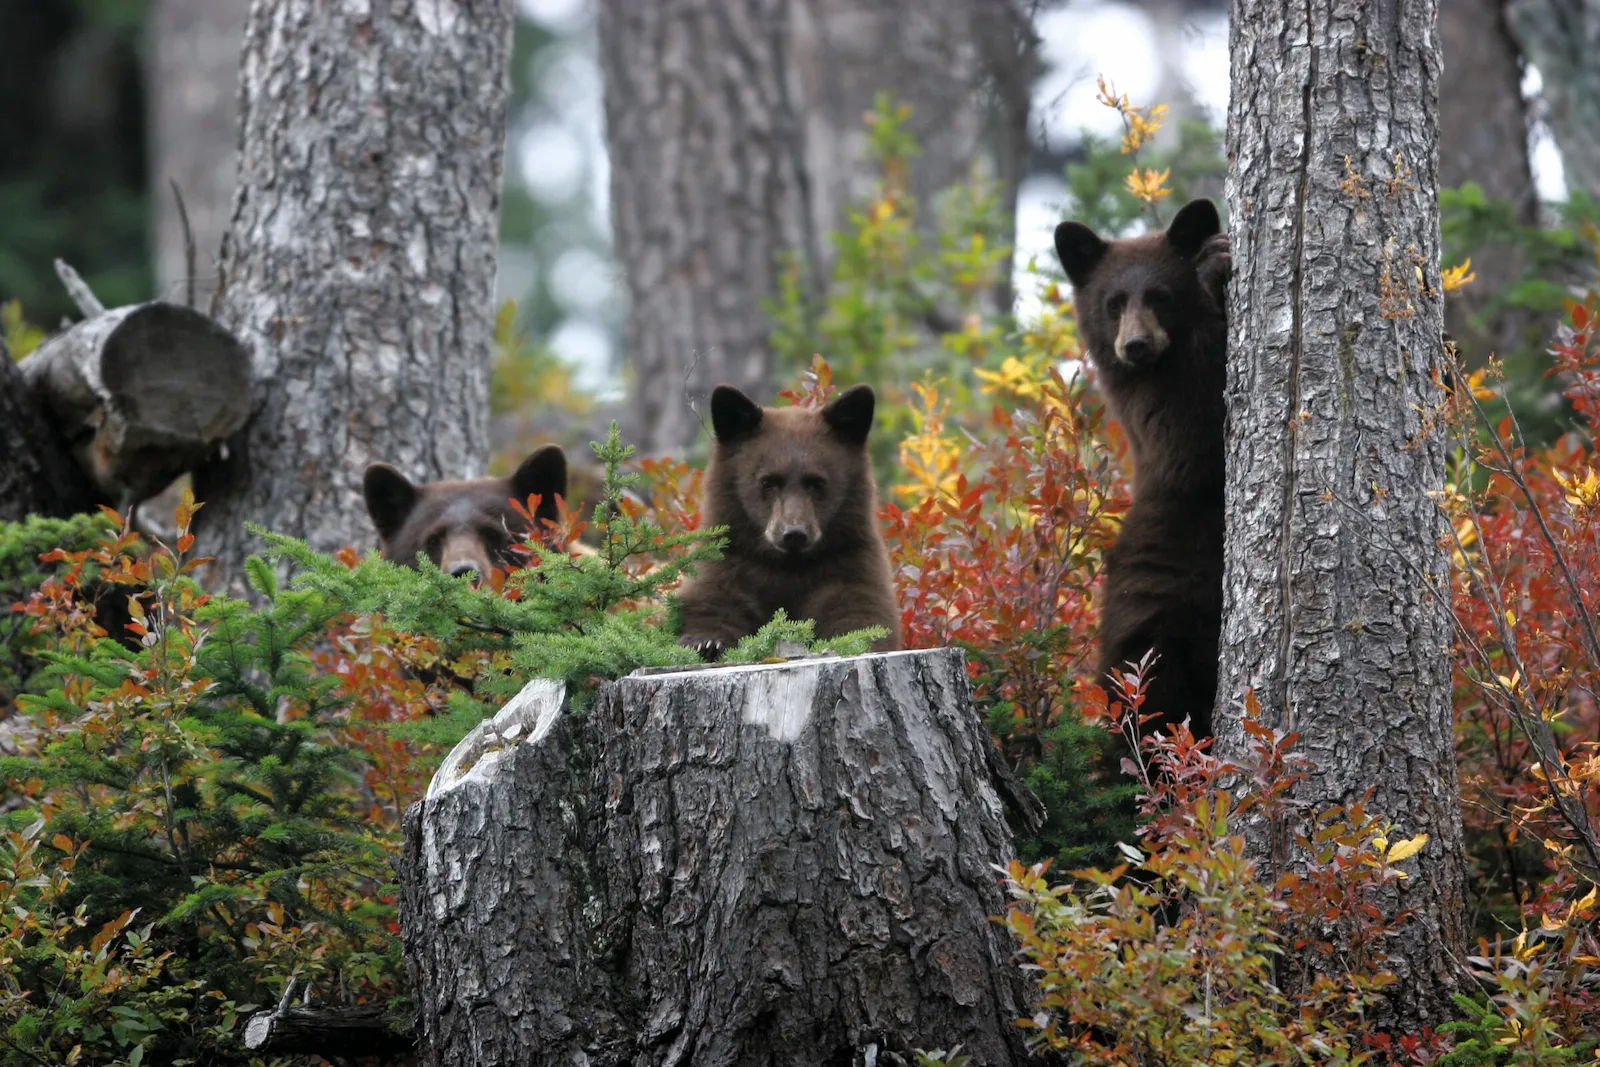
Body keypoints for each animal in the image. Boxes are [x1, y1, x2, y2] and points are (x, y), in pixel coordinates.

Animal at [675, 383, 902, 658]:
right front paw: (706, 641)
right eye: (767, 481)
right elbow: (714, 601)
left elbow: (860, 612)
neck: (788, 566)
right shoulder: (727, 562)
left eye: (817, 482)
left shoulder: (851, 564)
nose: (794, 533)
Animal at [1052, 197, 1231, 740]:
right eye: (1113, 302)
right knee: (1149, 700)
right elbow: (1191, 437)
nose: (1134, 344)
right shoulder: (1143, 407)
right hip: (1150, 610)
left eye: (1159, 295)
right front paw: (1212, 268)